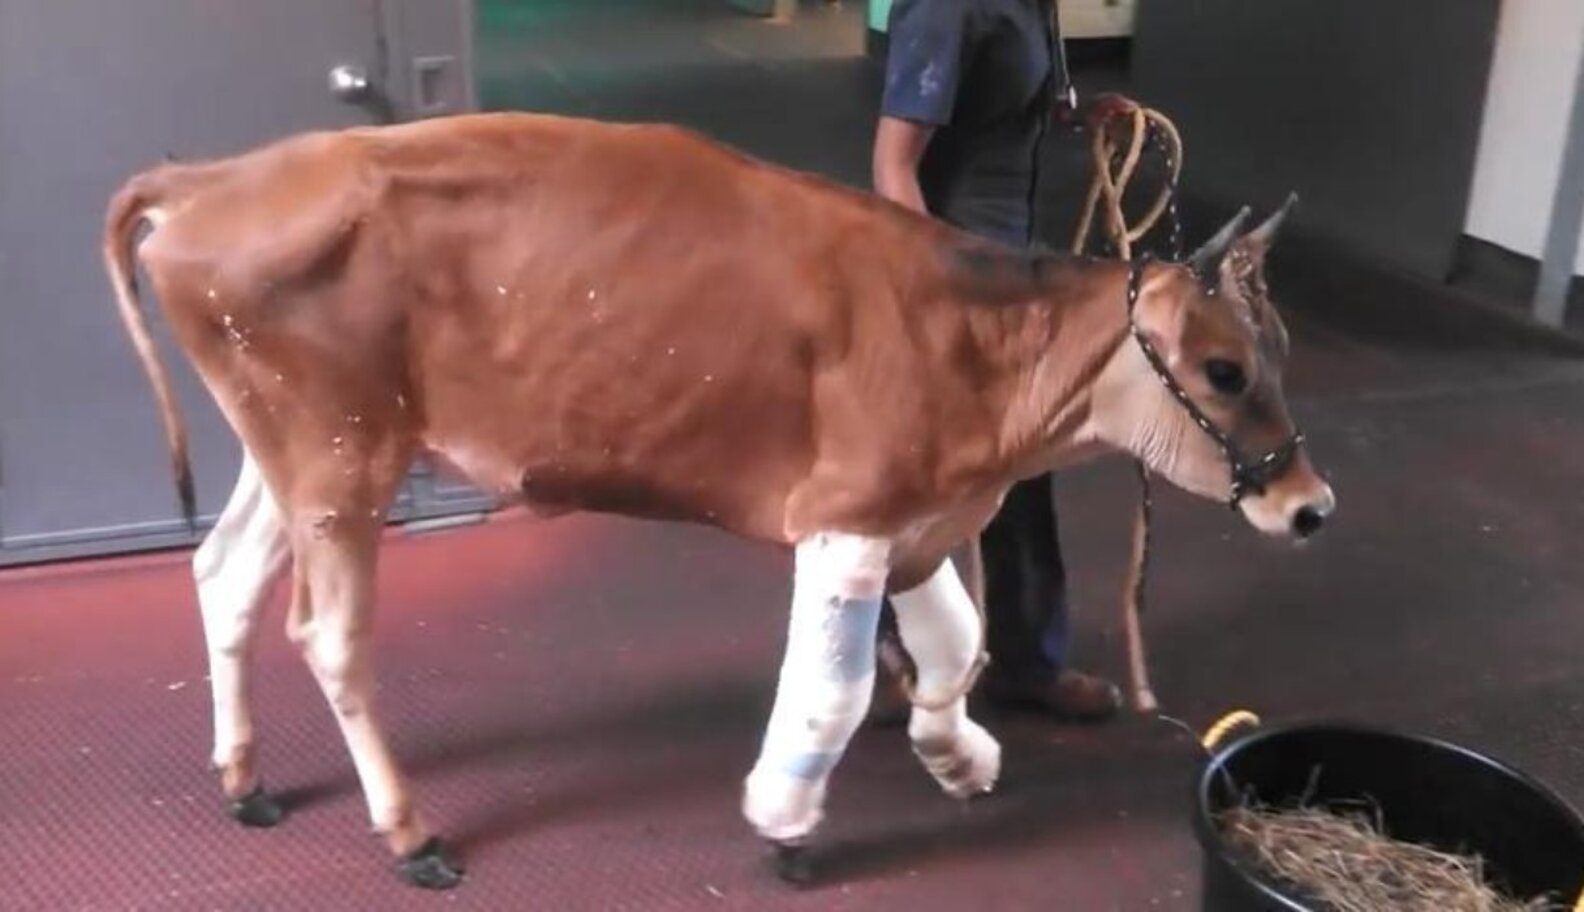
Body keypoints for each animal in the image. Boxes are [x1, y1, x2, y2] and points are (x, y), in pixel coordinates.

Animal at [102, 111, 1334, 889]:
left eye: (1279, 350)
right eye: (1225, 369)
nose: (1311, 506)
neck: (977, 356)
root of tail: (214, 179)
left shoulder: (917, 521)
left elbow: (953, 644)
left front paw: (957, 755)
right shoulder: (844, 515)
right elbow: (834, 692)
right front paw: (786, 824)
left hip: (290, 456)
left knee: (222, 574)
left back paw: (245, 778)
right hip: (342, 459)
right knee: (329, 635)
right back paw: (409, 835)